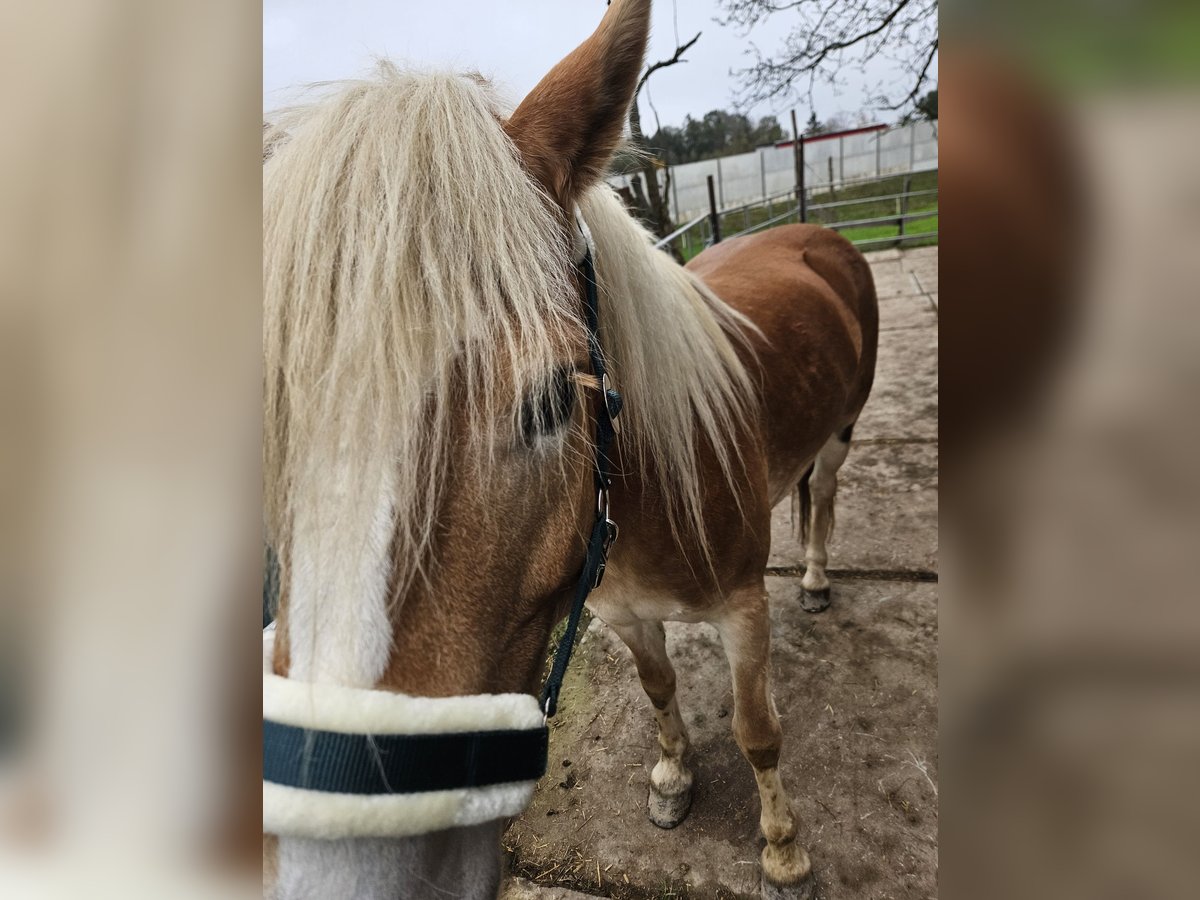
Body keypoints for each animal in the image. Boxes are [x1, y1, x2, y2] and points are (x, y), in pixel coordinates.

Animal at [262, 1, 878, 900]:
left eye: (553, 399)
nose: (336, 871)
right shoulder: (620, 613)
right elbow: (659, 690)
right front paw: (673, 779)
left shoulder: (742, 609)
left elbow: (757, 730)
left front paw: (782, 847)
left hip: (840, 436)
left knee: (824, 497)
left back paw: (820, 578)